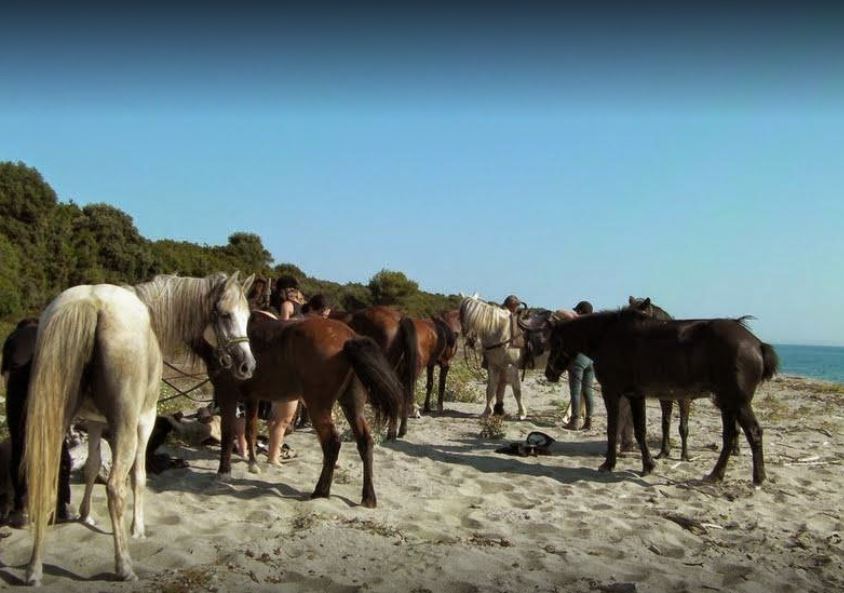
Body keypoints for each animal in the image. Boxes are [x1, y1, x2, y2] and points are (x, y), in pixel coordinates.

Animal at [24, 272, 256, 585]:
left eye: (248, 316)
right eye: (225, 314)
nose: (247, 365)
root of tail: (91, 303)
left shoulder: (94, 421)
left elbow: (91, 466)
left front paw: (86, 516)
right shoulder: (144, 421)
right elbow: (139, 476)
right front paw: (138, 529)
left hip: (54, 421)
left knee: (45, 482)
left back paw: (34, 568)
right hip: (124, 427)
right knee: (115, 488)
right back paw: (124, 566)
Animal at [197, 312, 404, 508]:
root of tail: (349, 337)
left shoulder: (227, 393)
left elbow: (227, 433)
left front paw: (224, 472)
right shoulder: (252, 397)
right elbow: (250, 431)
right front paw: (253, 465)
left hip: (318, 407)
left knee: (332, 444)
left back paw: (320, 492)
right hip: (352, 405)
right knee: (365, 443)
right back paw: (368, 497)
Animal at [544, 308, 779, 484]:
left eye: (555, 342)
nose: (549, 373)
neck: (607, 336)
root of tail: (757, 344)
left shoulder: (611, 392)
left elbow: (613, 429)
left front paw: (609, 464)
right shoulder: (635, 395)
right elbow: (640, 430)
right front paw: (648, 465)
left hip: (737, 402)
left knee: (753, 433)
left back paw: (757, 478)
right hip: (727, 403)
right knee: (731, 436)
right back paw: (717, 475)